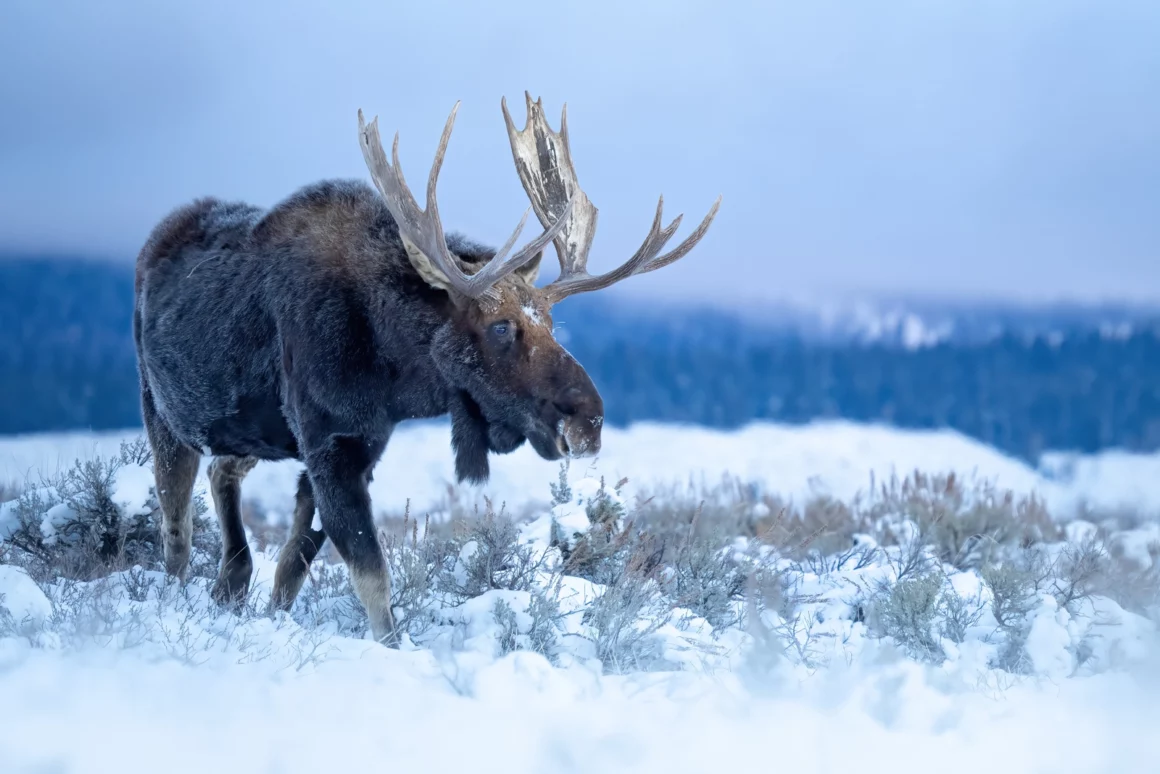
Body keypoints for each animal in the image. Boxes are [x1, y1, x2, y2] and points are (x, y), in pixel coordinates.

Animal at [131, 93, 719, 645]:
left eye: (552, 322)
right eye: (501, 326)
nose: (590, 419)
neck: (389, 368)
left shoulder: (359, 444)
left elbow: (293, 565)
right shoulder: (329, 443)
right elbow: (371, 575)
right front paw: (391, 647)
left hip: (251, 430)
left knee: (223, 474)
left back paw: (229, 580)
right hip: (161, 412)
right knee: (175, 527)